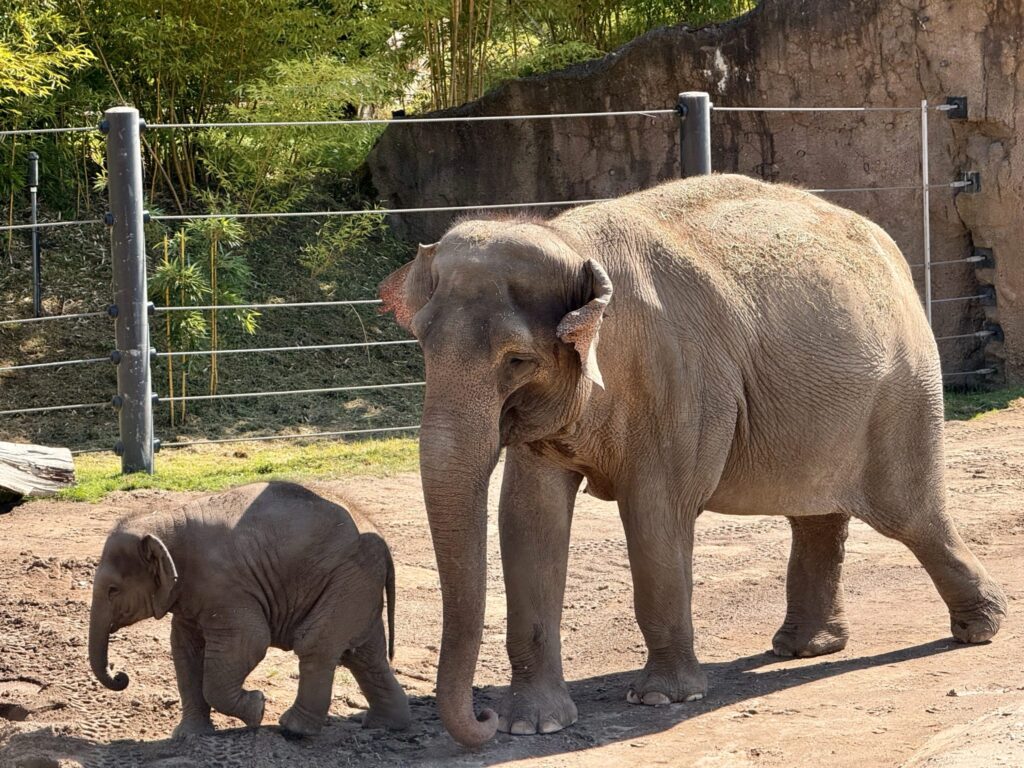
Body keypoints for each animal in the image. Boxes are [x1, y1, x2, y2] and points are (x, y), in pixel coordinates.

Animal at [88, 481, 411, 738]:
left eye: (113, 590)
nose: (120, 675)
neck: (166, 520)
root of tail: (382, 542)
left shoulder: (225, 587)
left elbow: (250, 641)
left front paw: (257, 708)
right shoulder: (190, 596)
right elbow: (185, 651)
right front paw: (188, 737)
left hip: (348, 579)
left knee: (316, 644)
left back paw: (294, 730)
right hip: (357, 584)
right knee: (364, 654)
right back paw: (386, 725)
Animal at [379, 173, 1007, 747]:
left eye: (516, 359)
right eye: (424, 346)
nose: (481, 718)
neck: (568, 238)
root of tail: (891, 253)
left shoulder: (679, 383)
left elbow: (656, 513)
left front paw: (663, 698)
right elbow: (528, 518)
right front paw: (532, 725)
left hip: (903, 392)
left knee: (911, 514)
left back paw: (981, 628)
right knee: (818, 515)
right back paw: (804, 647)